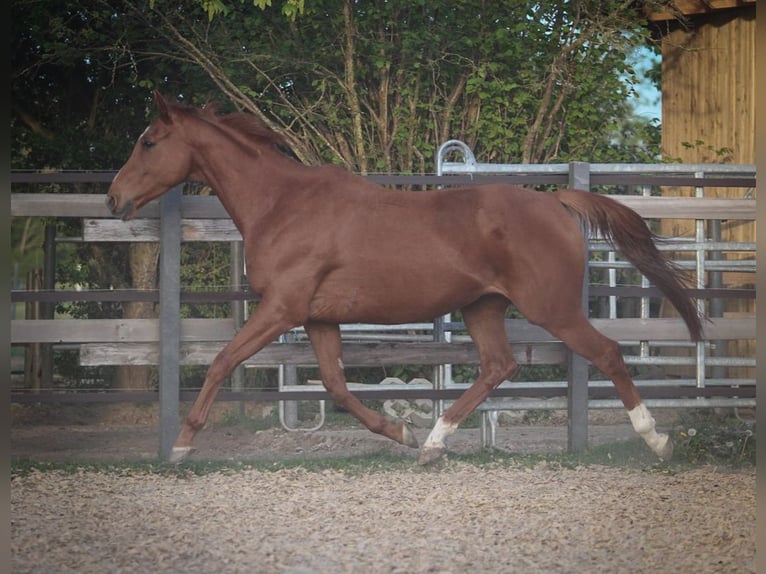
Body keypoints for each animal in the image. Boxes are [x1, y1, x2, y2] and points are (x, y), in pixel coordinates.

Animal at [107, 91, 703, 465]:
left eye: (149, 142)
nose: (114, 199)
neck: (283, 204)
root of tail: (557, 202)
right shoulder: (318, 318)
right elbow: (337, 386)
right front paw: (401, 430)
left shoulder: (281, 309)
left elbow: (221, 362)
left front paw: (181, 446)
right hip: (483, 306)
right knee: (498, 366)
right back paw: (432, 444)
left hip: (551, 308)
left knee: (607, 354)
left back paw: (658, 443)